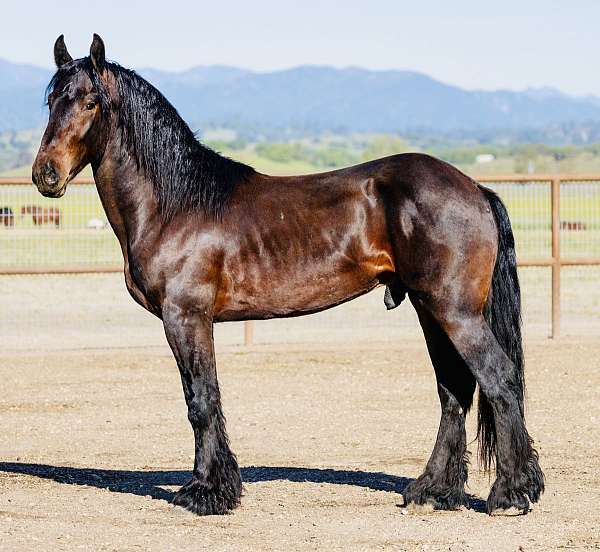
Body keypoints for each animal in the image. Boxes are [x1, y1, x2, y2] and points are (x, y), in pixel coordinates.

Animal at [30, 34, 544, 516]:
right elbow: (202, 398)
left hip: (454, 310)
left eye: (90, 102)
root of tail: (475, 188)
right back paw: (433, 491)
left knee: (497, 378)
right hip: (429, 307)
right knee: (453, 389)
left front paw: (206, 493)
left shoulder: (186, 318)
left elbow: (201, 400)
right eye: (52, 100)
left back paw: (510, 494)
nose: (46, 174)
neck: (177, 203)